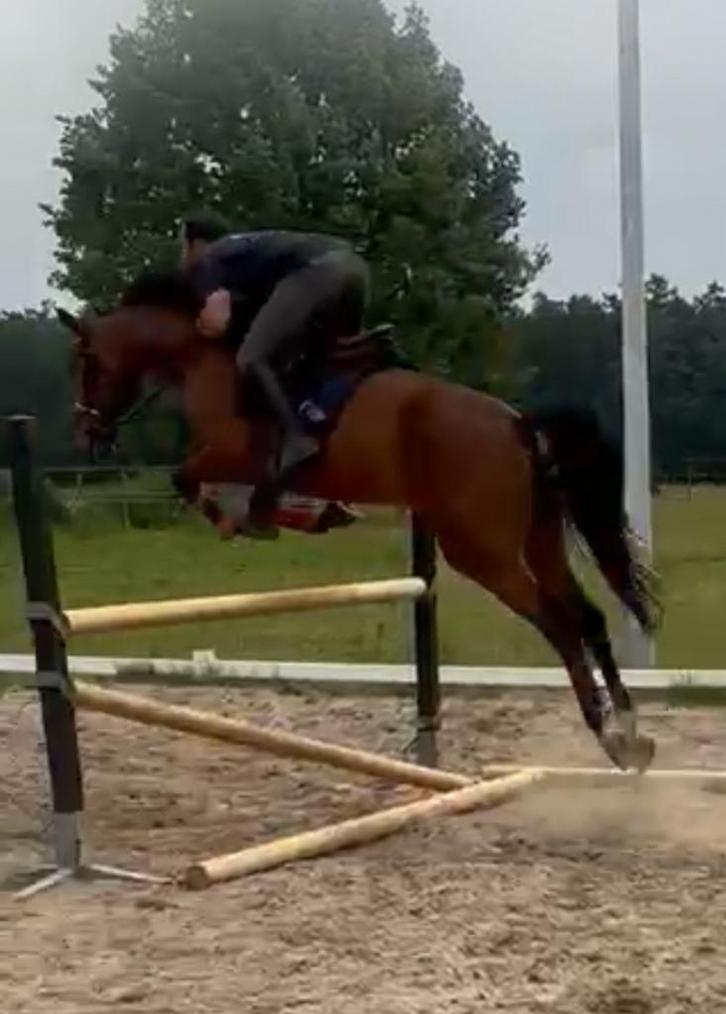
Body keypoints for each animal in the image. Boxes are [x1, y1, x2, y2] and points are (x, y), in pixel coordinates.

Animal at [57, 279, 660, 773]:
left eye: (86, 360)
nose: (86, 432)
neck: (205, 356)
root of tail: (517, 424)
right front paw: (297, 513)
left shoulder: (231, 453)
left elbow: (189, 481)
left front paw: (253, 518)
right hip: (538, 540)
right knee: (588, 617)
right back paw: (631, 734)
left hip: (480, 550)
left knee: (559, 623)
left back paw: (607, 734)